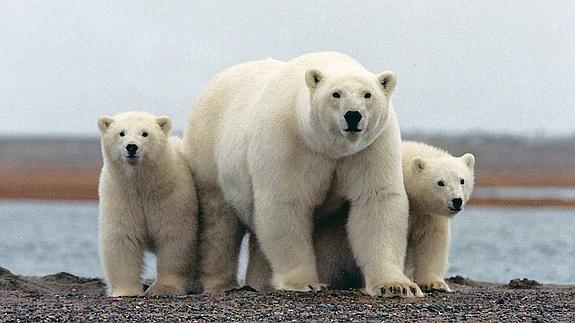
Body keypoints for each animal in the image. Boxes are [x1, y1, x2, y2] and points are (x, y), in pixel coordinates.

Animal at [184, 52, 424, 298]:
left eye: (367, 94)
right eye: (335, 94)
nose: (353, 115)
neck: (329, 148)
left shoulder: (370, 148)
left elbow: (376, 201)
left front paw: (397, 286)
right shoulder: (289, 142)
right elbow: (286, 204)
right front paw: (304, 282)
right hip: (209, 154)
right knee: (218, 224)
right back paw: (220, 283)